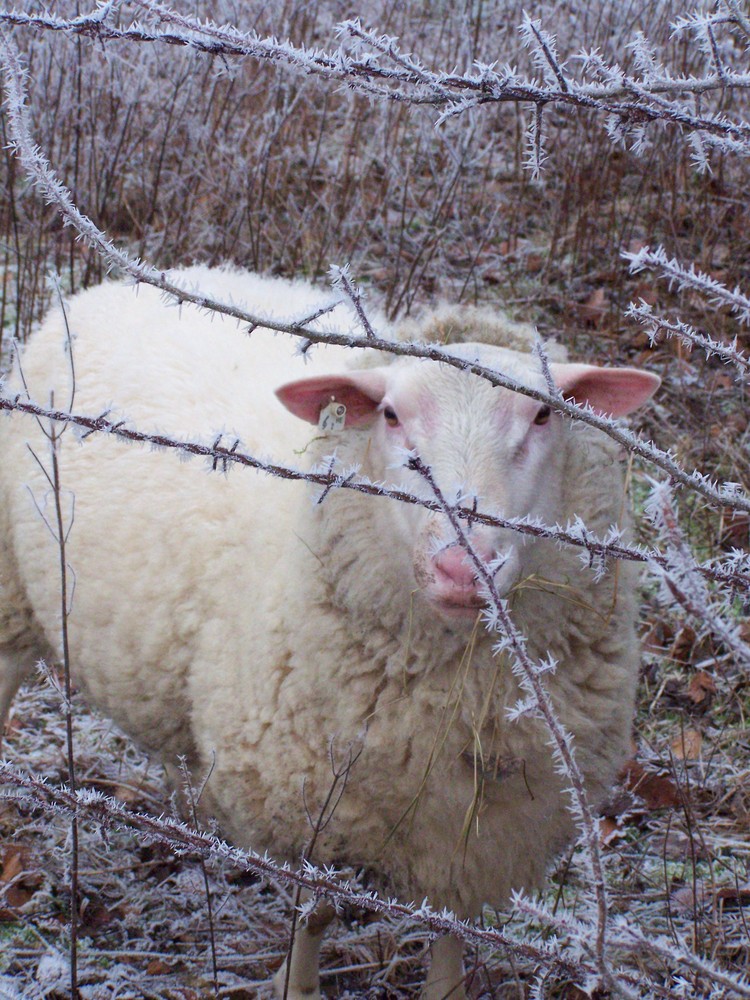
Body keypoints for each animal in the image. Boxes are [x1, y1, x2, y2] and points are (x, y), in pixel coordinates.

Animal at [0, 268, 656, 1000]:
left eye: (543, 416)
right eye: (391, 416)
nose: (463, 566)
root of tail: (116, 283)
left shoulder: (481, 836)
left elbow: (454, 929)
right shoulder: (304, 805)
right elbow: (313, 913)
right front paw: (298, 984)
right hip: (10, 595)